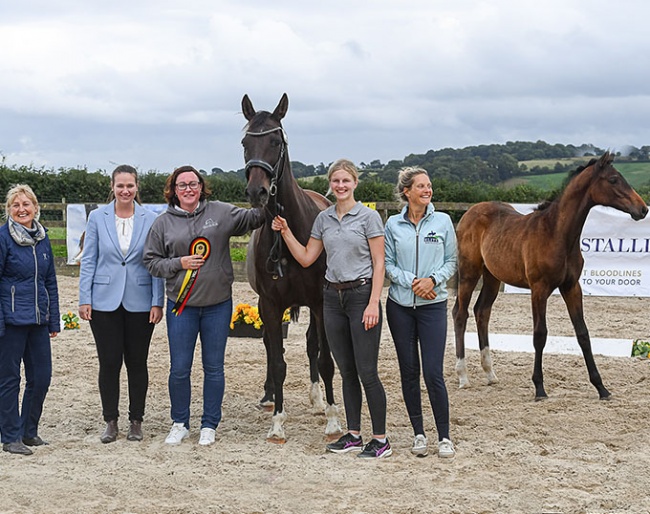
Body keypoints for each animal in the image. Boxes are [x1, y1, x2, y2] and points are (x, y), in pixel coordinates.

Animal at [238, 93, 340, 440]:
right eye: (245, 142)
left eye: (275, 141)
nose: (256, 191)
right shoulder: (269, 304)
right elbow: (277, 360)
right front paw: (278, 422)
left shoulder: (321, 303)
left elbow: (324, 359)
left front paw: (333, 418)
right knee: (271, 348)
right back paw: (269, 396)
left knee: (312, 345)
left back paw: (318, 399)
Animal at [454, 152, 644, 400]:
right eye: (613, 180)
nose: (643, 209)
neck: (556, 233)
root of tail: (468, 213)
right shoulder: (539, 289)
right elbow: (539, 334)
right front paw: (539, 388)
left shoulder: (572, 287)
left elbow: (583, 333)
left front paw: (601, 388)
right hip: (469, 272)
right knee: (460, 314)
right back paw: (463, 377)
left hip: (493, 277)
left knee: (481, 312)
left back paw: (490, 374)